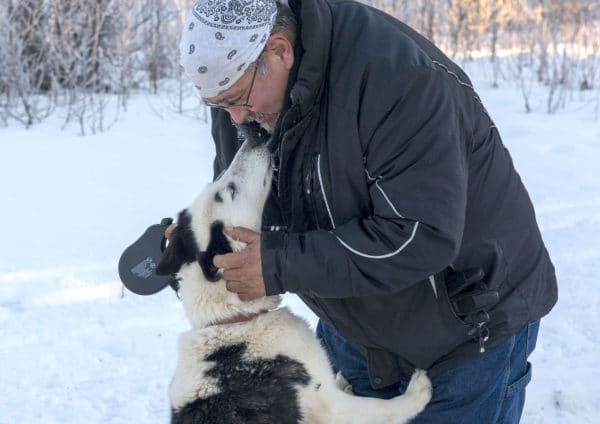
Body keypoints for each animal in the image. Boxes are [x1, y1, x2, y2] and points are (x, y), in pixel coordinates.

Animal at [155, 124, 432, 422]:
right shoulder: (330, 406)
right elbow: (381, 407)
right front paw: (416, 394)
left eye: (218, 187)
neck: (234, 320)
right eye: (228, 191)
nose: (253, 136)